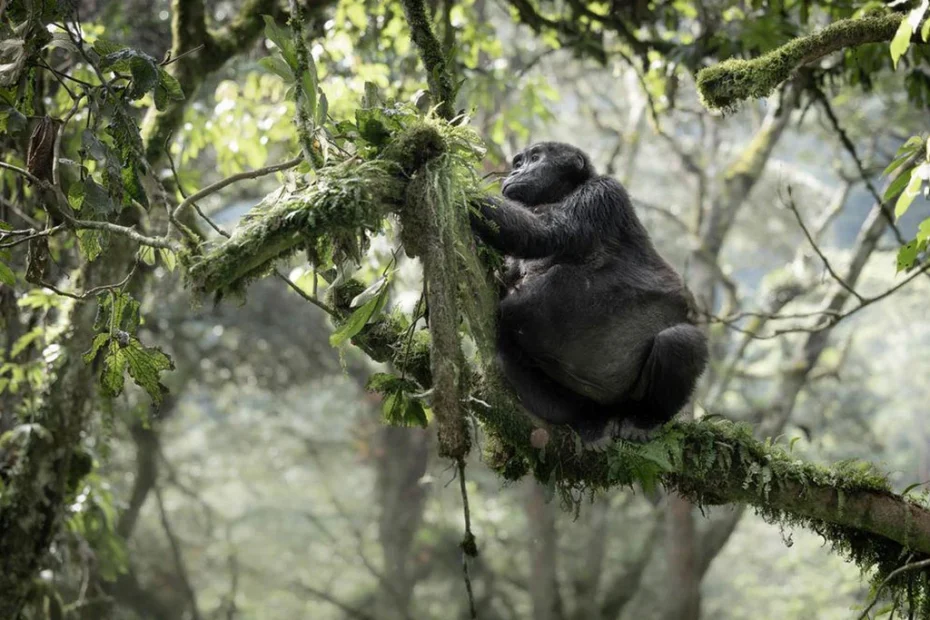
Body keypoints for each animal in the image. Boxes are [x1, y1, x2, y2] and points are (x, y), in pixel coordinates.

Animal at [471, 142, 708, 446]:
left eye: (535, 158)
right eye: (519, 162)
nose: (515, 171)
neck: (564, 191)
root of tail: (611, 410)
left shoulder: (602, 193)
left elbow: (543, 232)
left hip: (632, 399)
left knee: (681, 341)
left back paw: (644, 419)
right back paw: (587, 421)